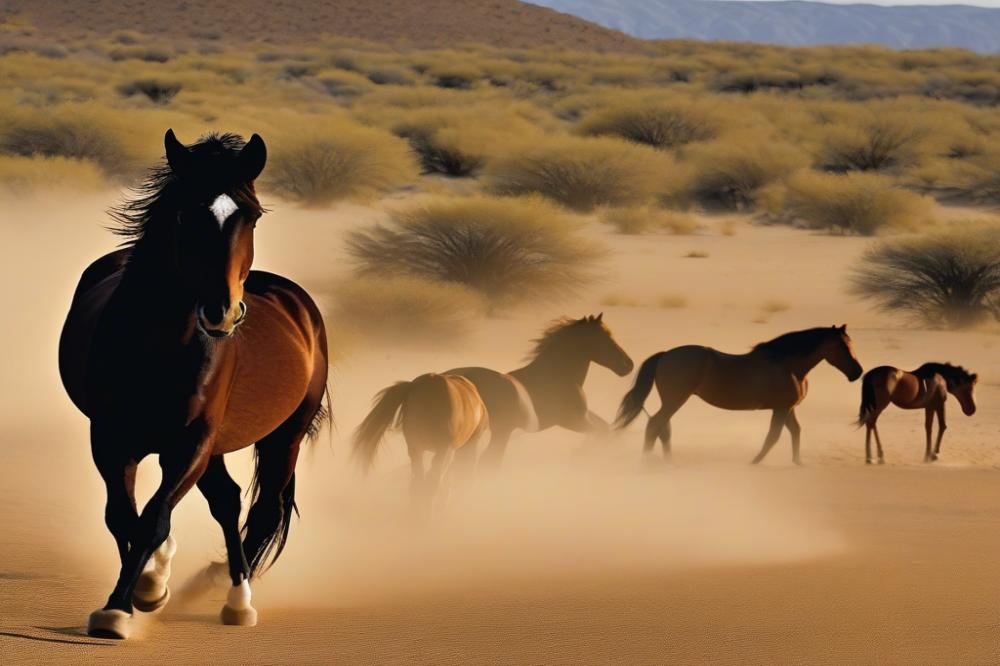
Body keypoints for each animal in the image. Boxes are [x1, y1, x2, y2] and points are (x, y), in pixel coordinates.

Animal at [58, 130, 330, 639]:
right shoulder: (110, 439)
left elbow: (151, 520)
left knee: (260, 510)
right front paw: (139, 592)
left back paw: (238, 602)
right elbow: (124, 517)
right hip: (214, 447)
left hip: (284, 436)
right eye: (186, 213)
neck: (160, 346)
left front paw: (121, 608)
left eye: (252, 215)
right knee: (226, 500)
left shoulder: (191, 443)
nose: (222, 313)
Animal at [447, 314, 634, 466]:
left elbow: (605, 428)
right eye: (605, 338)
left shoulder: (584, 415)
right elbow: (599, 432)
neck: (557, 377)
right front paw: (583, 453)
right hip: (499, 432)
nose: (628, 365)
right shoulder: (573, 421)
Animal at [616, 325, 863, 464]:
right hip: (675, 400)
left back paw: (666, 461)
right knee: (655, 424)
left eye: (851, 343)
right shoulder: (781, 408)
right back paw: (648, 460)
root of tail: (666, 355)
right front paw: (755, 462)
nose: (858, 372)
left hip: (672, 401)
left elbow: (795, 432)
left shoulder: (788, 408)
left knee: (662, 427)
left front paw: (798, 462)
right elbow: (773, 436)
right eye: (842, 346)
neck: (789, 367)